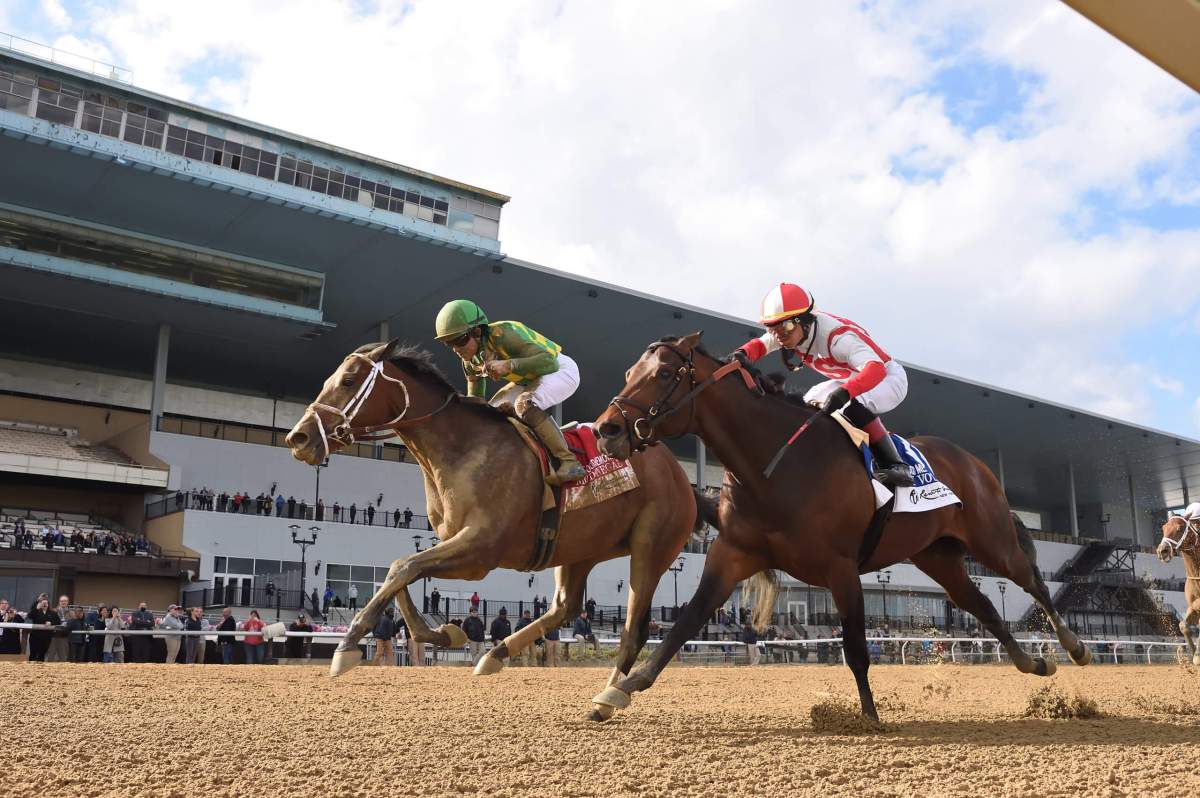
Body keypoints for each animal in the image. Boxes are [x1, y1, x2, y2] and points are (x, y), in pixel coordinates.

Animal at [285, 338, 705, 700]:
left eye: (349, 380)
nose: (298, 438)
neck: (462, 449)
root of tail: (680, 475)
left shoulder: (480, 552)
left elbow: (403, 568)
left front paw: (347, 645)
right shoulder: (456, 544)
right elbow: (399, 571)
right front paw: (445, 634)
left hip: (651, 546)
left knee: (633, 626)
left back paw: (610, 691)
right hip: (580, 550)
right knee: (565, 607)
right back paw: (495, 654)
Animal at [588, 333, 1089, 720]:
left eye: (664, 374)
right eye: (631, 371)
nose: (606, 430)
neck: (776, 466)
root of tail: (974, 462)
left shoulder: (841, 566)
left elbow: (855, 646)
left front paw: (869, 717)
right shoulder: (732, 554)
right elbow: (685, 623)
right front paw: (617, 691)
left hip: (990, 540)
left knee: (1030, 580)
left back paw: (1075, 646)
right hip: (938, 556)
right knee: (981, 603)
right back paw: (1033, 664)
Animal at [1152, 513, 1200, 662]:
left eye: (1179, 528)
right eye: (1163, 528)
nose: (1162, 551)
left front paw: (1197, 655)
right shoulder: (1193, 607)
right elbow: (1183, 625)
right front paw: (1194, 654)